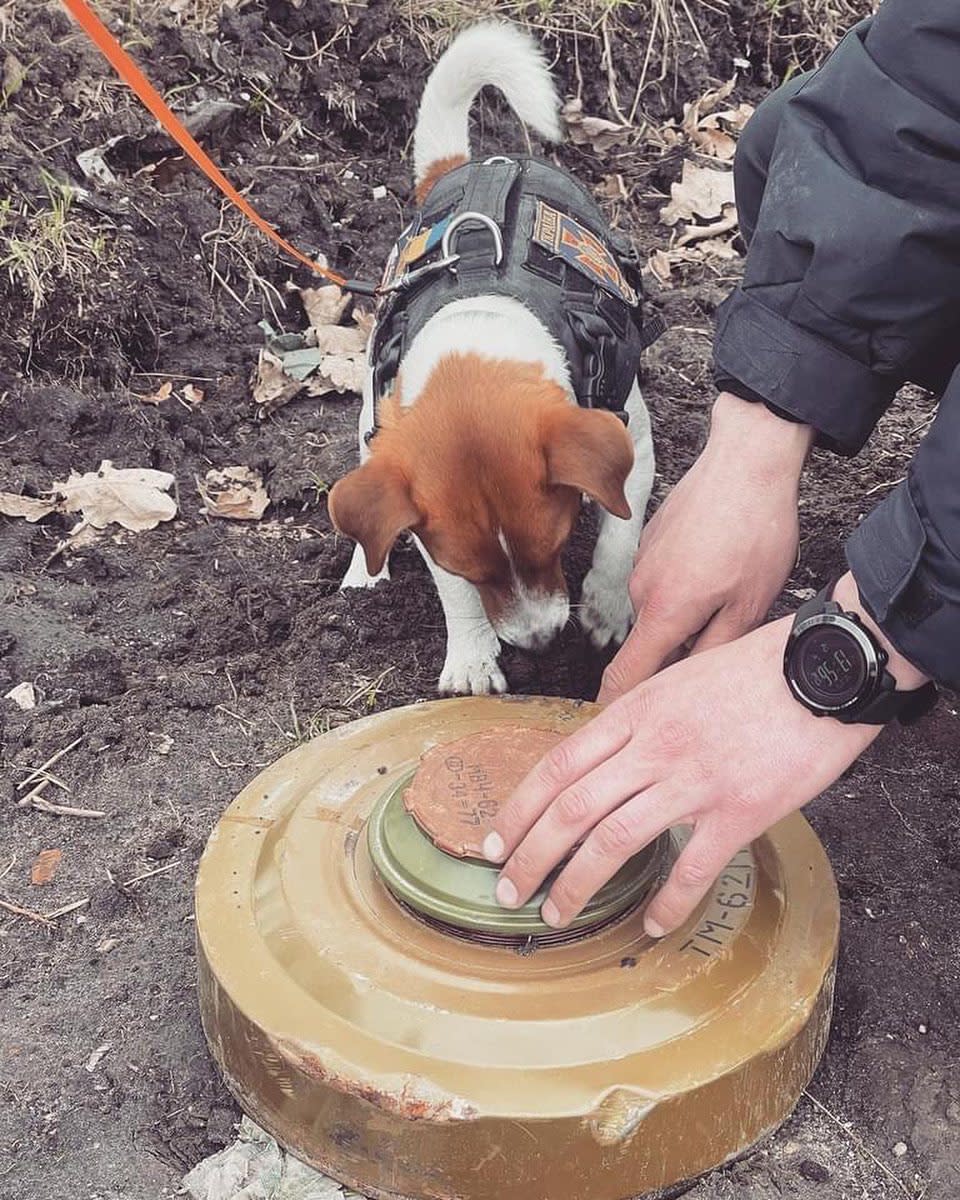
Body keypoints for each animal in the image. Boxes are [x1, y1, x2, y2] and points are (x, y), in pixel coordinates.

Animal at [326, 23, 657, 700]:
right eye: (473, 569)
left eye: (557, 543)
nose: (538, 642)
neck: (479, 330)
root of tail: (468, 166)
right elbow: (453, 592)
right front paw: (474, 659)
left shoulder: (631, 441)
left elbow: (621, 531)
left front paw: (608, 608)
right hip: (373, 413)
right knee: (367, 490)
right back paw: (364, 575)